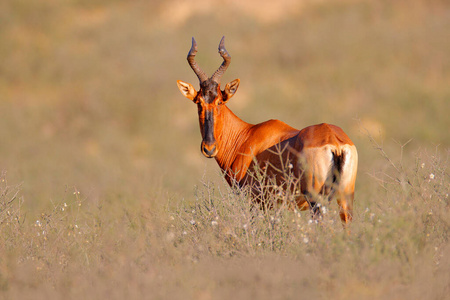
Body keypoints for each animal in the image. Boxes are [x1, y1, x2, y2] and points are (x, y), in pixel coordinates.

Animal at [178, 37, 356, 225]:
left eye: (220, 101)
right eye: (198, 102)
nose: (209, 148)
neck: (246, 135)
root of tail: (334, 140)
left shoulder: (257, 202)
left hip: (316, 201)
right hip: (346, 197)